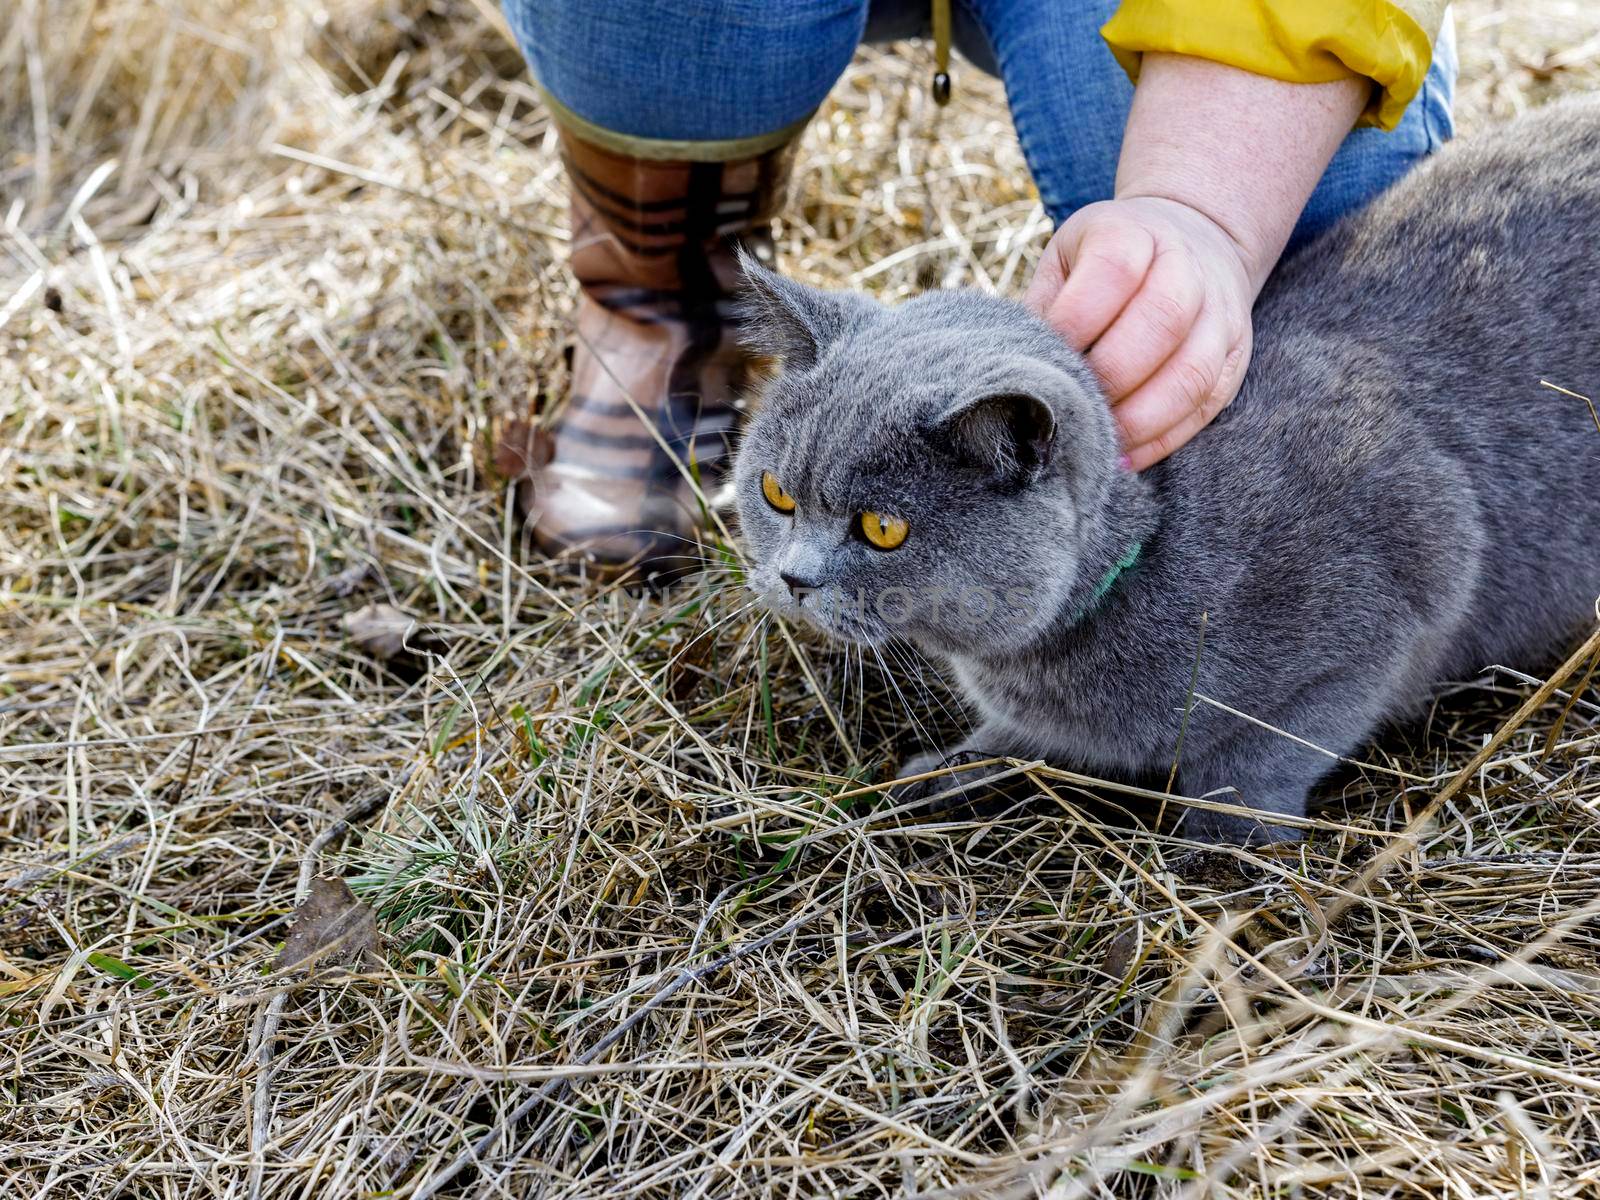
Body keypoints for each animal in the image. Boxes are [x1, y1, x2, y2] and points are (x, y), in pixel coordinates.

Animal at [732, 98, 1600, 838]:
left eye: (883, 528)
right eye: (775, 494)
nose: (794, 578)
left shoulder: (1406, 582)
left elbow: (1266, 756)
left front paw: (1220, 855)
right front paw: (944, 771)